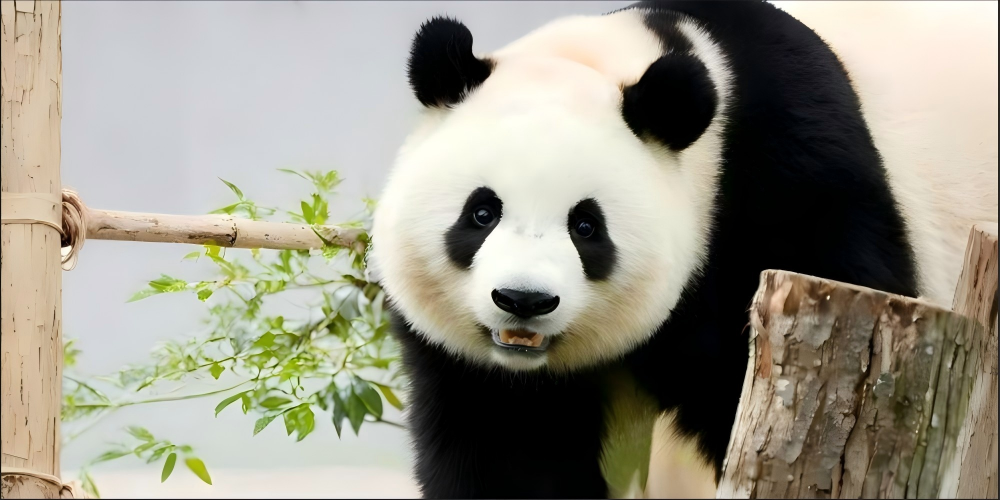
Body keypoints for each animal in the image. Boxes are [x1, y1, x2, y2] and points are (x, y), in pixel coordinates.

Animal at [365, 1, 998, 498]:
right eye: (482, 212)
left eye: (586, 226)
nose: (523, 301)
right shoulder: (484, 372)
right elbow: (508, 447)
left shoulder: (793, 186)